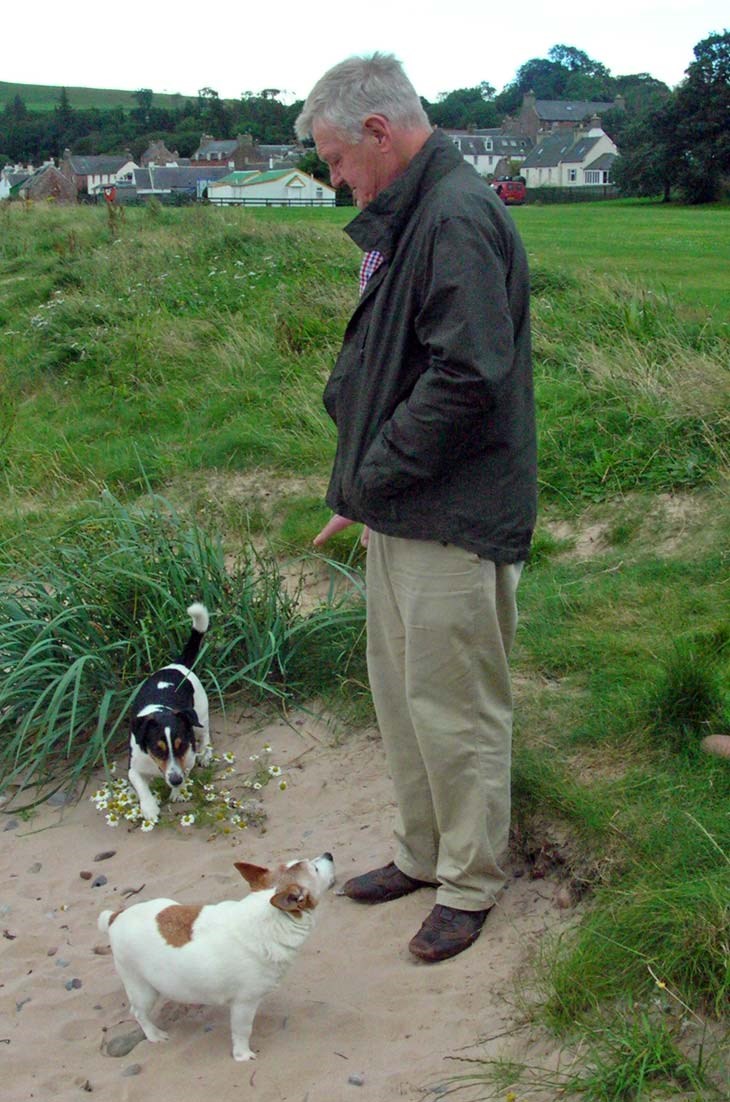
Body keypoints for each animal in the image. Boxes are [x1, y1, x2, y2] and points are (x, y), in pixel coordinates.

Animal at [98, 850, 335, 1057]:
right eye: (315, 869)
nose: (329, 855)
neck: (271, 914)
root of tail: (115, 917)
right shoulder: (244, 1003)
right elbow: (242, 1030)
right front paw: (242, 1054)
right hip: (142, 989)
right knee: (138, 1013)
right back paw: (154, 1035)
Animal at [128, 603, 211, 828]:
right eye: (158, 749)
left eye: (181, 746)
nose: (175, 780)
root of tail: (177, 665)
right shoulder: (134, 768)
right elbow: (141, 786)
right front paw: (149, 808)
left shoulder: (187, 760)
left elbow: (186, 771)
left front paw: (177, 792)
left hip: (200, 718)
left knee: (205, 736)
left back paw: (206, 754)